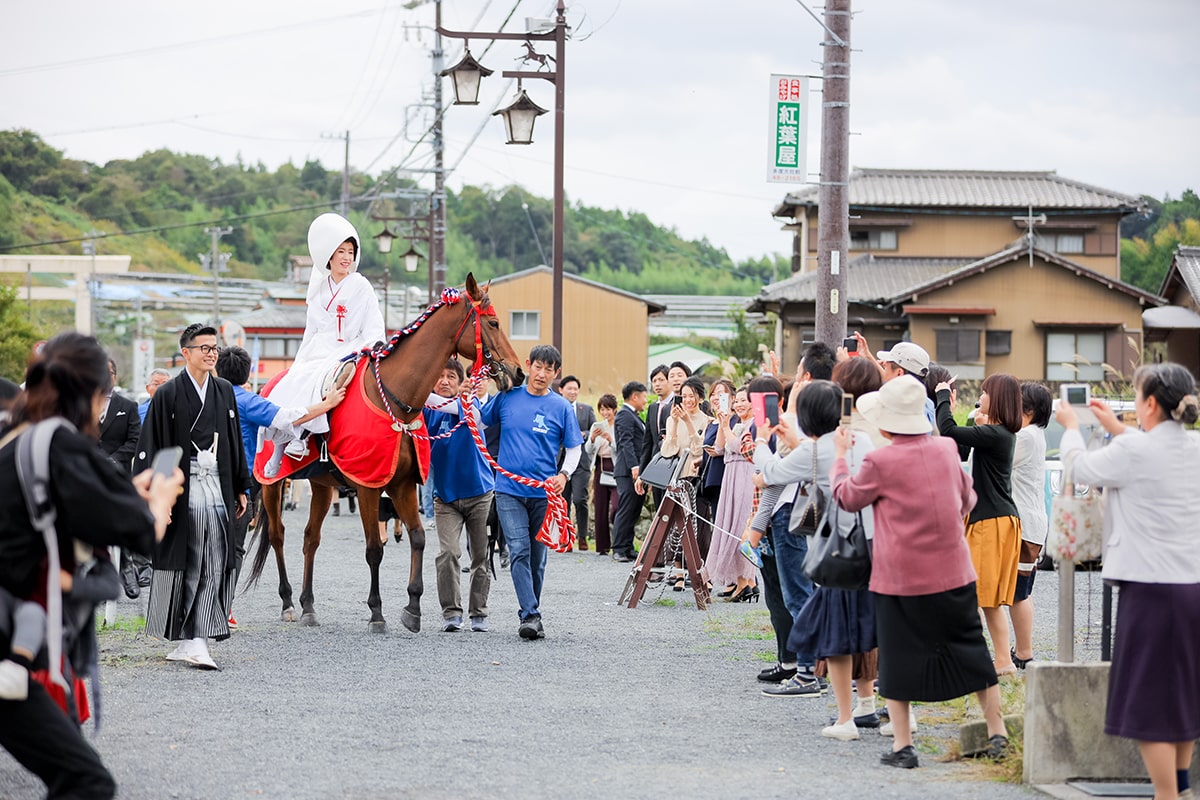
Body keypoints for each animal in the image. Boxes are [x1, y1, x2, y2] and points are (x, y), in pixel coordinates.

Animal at [246, 275, 523, 633]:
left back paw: (308, 606)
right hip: (272, 482)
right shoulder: (368, 485)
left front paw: (413, 607)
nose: (518, 373)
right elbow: (374, 549)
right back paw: (289, 602)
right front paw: (377, 613)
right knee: (278, 536)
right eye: (493, 323)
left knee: (310, 539)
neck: (395, 399)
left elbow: (417, 538)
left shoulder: (403, 484)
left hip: (321, 484)